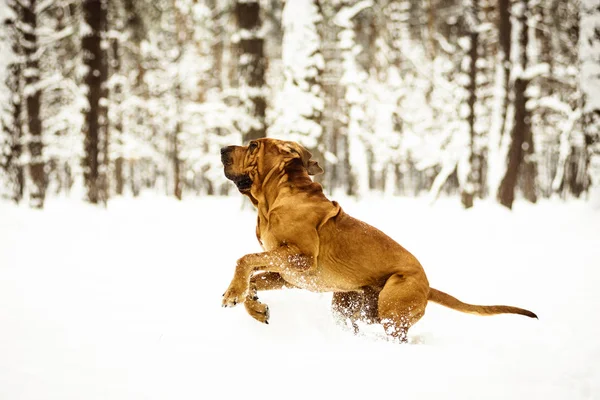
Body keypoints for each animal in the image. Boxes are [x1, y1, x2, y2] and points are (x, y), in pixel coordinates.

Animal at [218, 139, 536, 342]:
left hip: (392, 309)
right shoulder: (289, 274)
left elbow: (244, 259)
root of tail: (428, 287)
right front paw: (254, 306)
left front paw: (232, 293)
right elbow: (254, 277)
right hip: (348, 305)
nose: (221, 148)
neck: (273, 199)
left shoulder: (300, 258)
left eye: (253, 145)